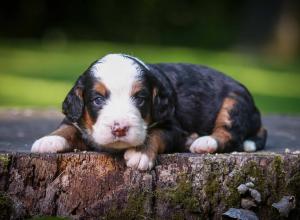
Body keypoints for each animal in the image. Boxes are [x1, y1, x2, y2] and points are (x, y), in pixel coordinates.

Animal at [31, 53, 268, 170]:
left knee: (230, 133)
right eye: (97, 99)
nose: (120, 128)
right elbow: (67, 128)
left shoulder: (173, 126)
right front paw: (48, 140)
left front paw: (139, 153)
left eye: (140, 98)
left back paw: (203, 142)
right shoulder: (76, 116)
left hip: (233, 101)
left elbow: (154, 133)